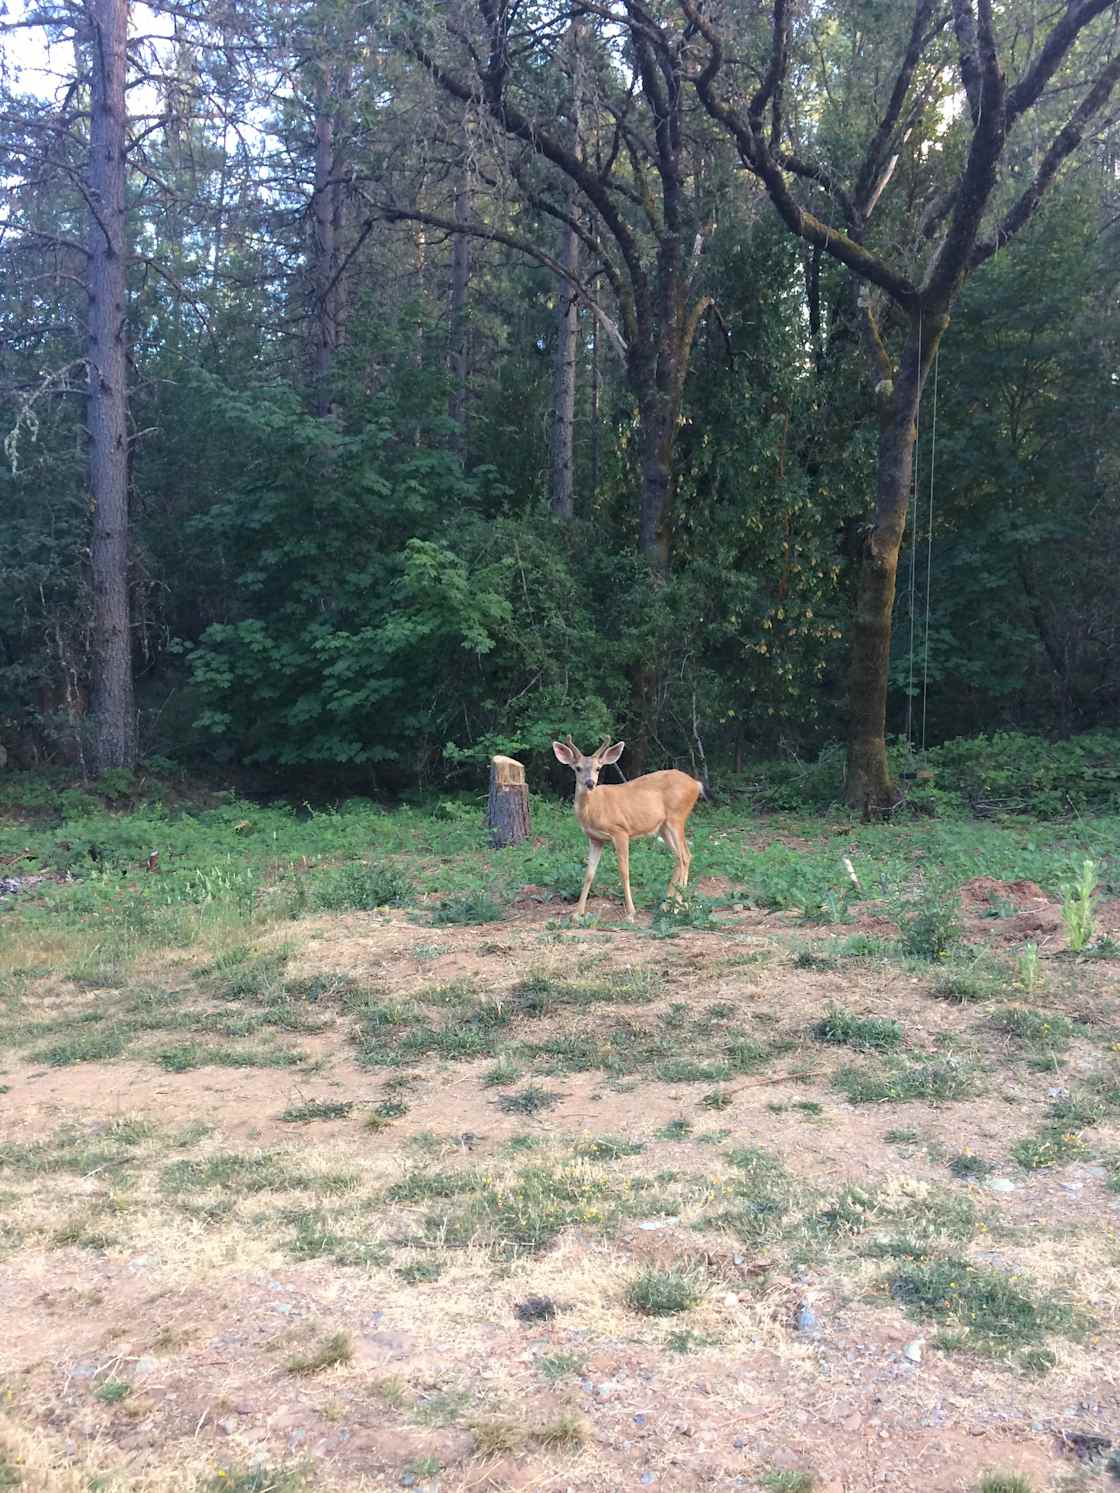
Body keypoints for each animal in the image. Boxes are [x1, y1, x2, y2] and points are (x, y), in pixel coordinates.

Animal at [555, 734, 710, 919]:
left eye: (598, 768)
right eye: (578, 768)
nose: (590, 783)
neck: (595, 809)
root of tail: (696, 784)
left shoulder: (620, 831)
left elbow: (624, 871)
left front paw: (630, 911)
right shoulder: (595, 839)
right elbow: (589, 874)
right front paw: (577, 913)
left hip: (677, 817)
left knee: (685, 856)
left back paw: (678, 906)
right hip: (663, 827)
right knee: (679, 857)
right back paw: (666, 905)